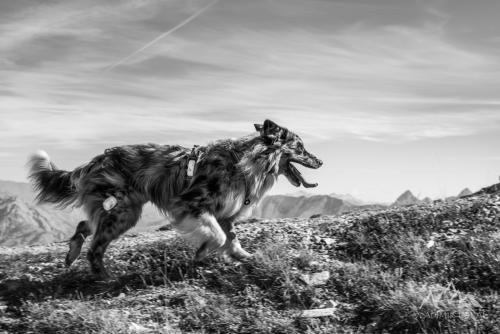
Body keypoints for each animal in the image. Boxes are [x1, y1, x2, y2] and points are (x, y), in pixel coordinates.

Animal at [27, 118, 322, 278]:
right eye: (300, 147)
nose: (321, 161)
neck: (247, 162)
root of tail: (94, 161)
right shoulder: (191, 204)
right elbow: (218, 237)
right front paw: (203, 252)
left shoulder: (226, 213)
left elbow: (231, 238)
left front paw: (244, 256)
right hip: (122, 211)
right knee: (95, 247)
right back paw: (105, 277)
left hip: (120, 210)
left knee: (85, 225)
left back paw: (72, 253)